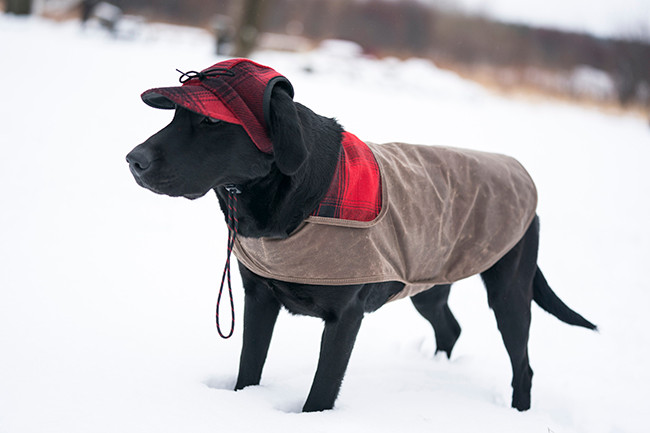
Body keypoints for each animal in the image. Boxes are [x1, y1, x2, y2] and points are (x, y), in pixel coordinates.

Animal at [124, 58, 596, 412]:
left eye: (208, 119)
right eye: (175, 115)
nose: (133, 160)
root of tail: (517, 170)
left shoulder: (345, 316)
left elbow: (320, 392)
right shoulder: (259, 298)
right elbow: (249, 366)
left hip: (508, 290)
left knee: (523, 365)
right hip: (427, 284)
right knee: (450, 328)